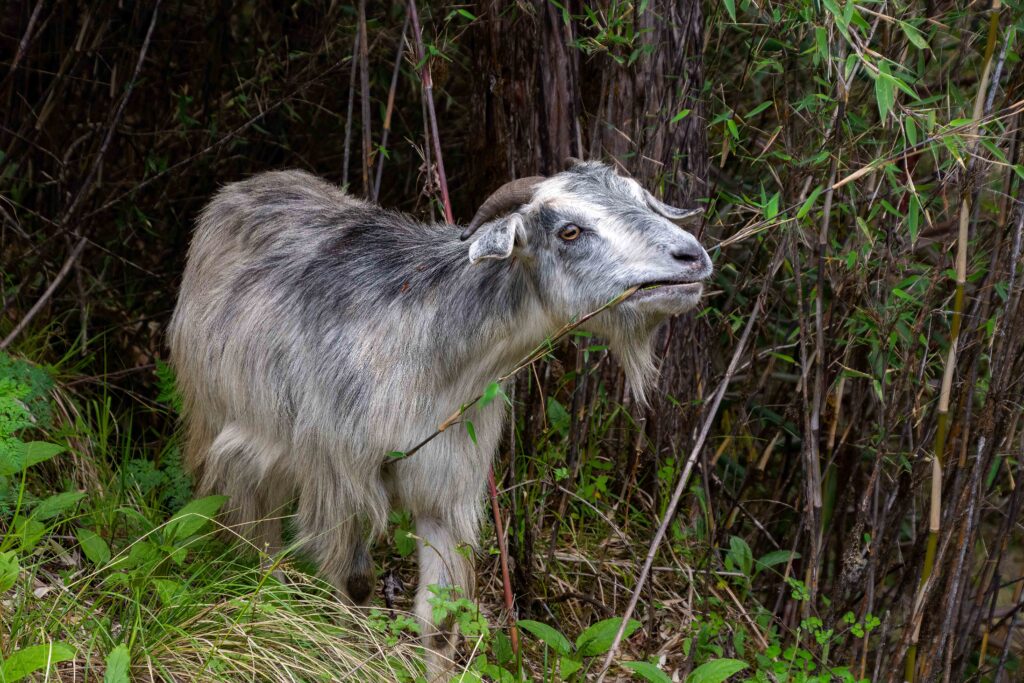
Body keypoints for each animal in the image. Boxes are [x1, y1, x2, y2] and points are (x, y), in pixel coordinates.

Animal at [167, 160, 712, 671]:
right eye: (570, 231)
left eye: (642, 198)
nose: (692, 257)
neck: (429, 352)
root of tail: (245, 187)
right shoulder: (340, 478)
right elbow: (356, 586)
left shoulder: (445, 489)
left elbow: (441, 625)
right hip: (221, 420)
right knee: (250, 522)